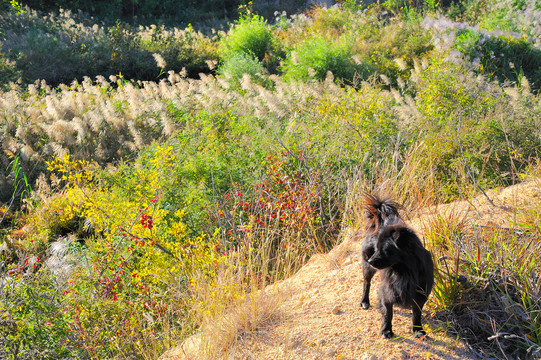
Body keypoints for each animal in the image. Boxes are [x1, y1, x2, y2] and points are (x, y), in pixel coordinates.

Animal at [360, 194, 432, 338]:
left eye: (384, 250)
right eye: (376, 248)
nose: (371, 260)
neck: (403, 271)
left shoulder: (421, 293)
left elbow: (417, 314)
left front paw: (418, 330)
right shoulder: (387, 290)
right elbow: (388, 313)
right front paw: (386, 330)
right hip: (368, 268)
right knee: (366, 282)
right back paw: (365, 302)